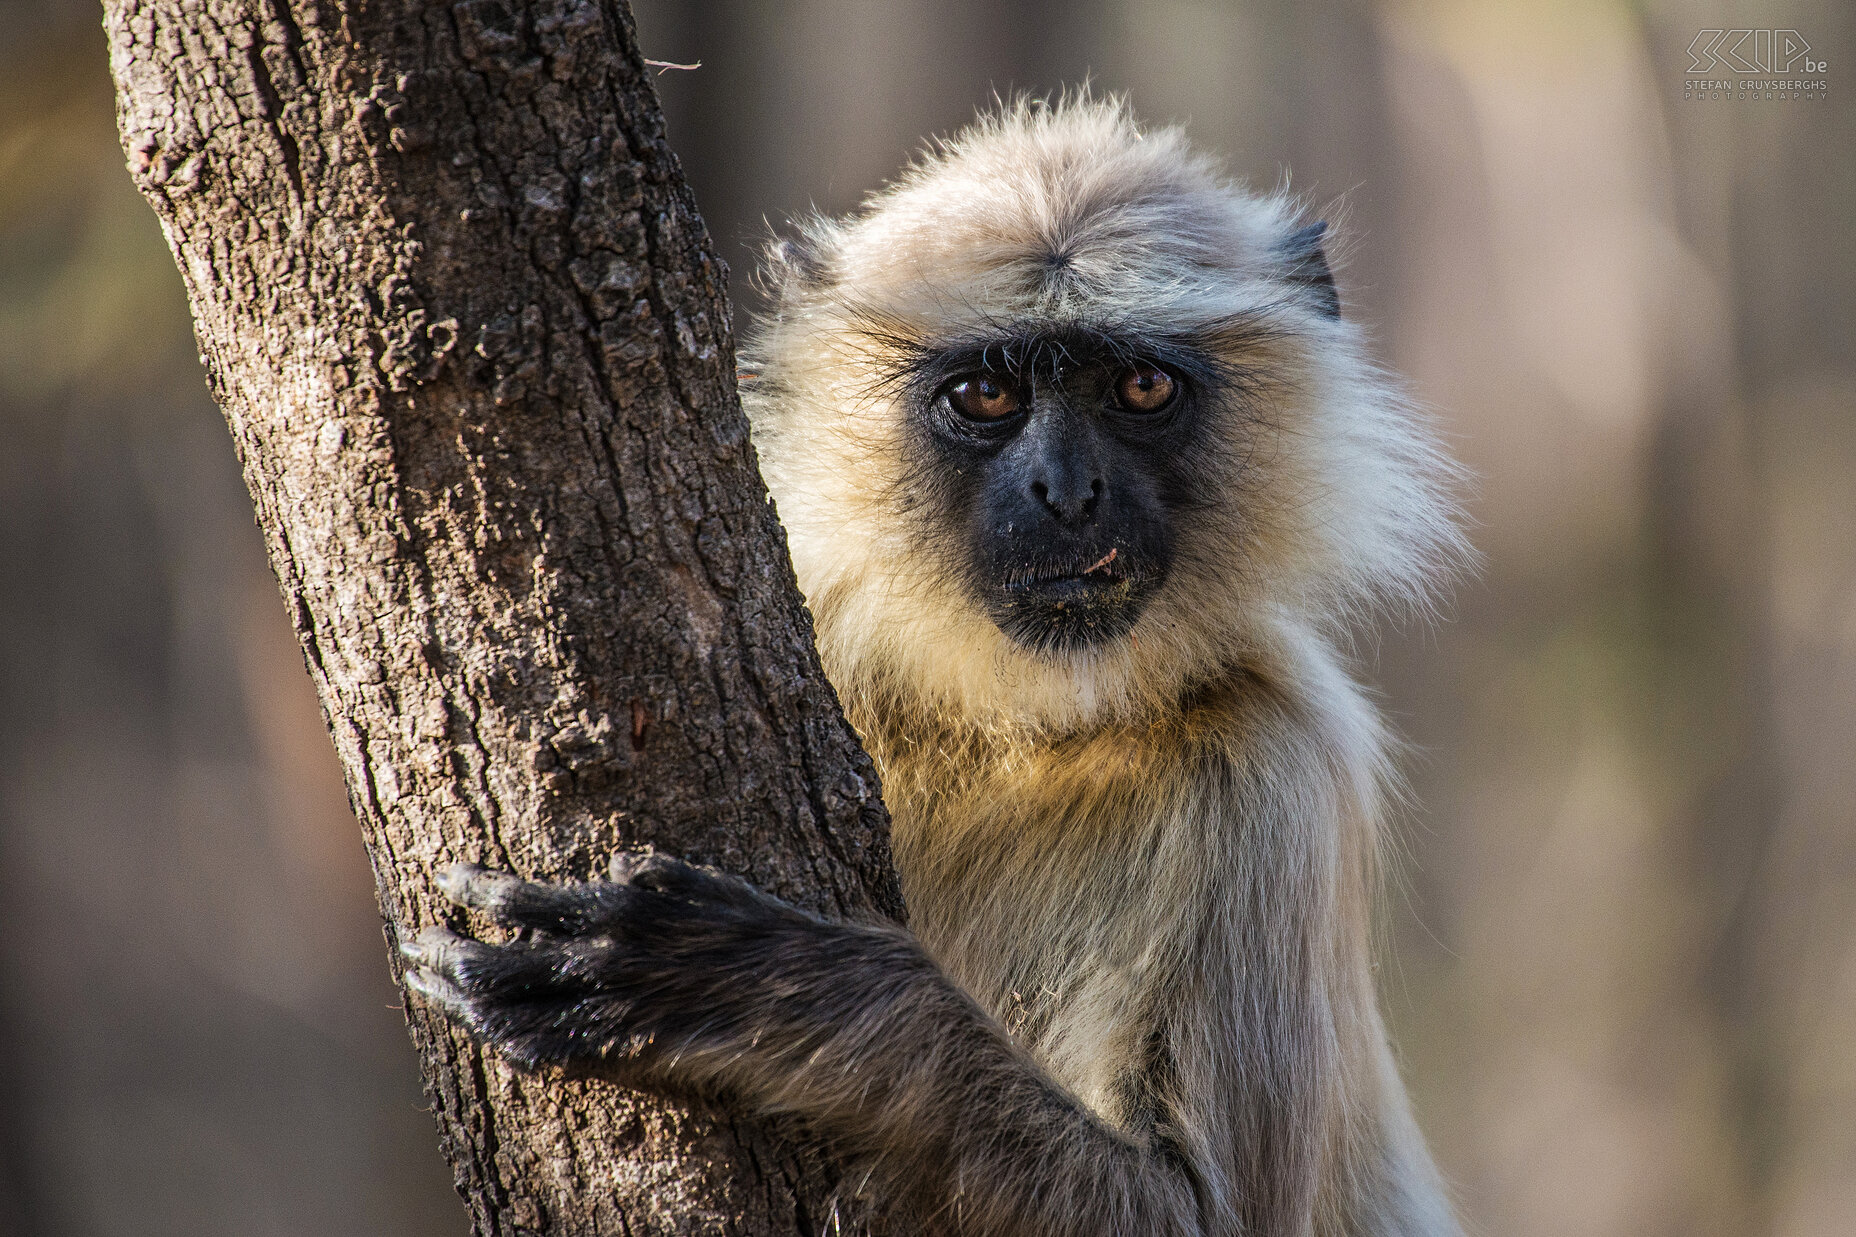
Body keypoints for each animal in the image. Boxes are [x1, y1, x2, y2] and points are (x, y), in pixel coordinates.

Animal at [402, 98, 1462, 1233]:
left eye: (1139, 385)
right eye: (986, 394)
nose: (1066, 491)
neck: (1018, 725)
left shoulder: (1279, 763)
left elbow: (1201, 1211)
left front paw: (774, 987)